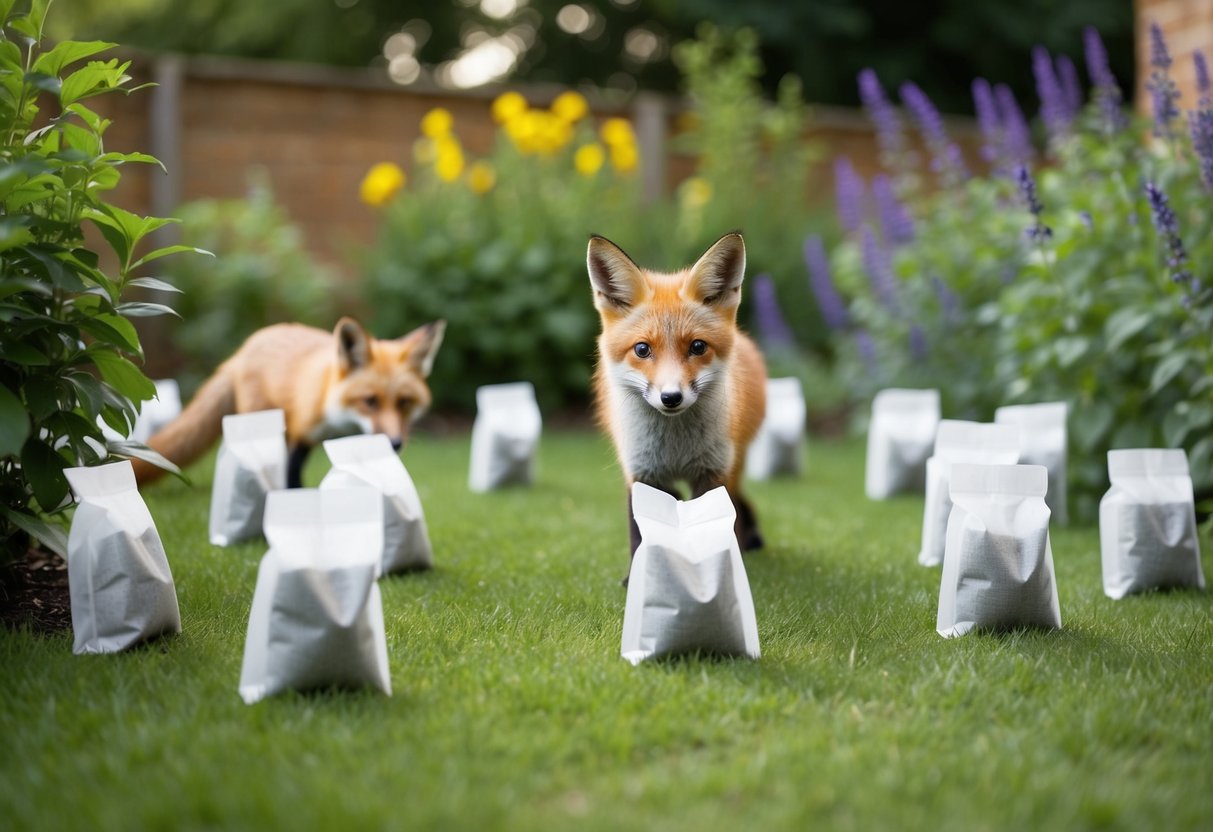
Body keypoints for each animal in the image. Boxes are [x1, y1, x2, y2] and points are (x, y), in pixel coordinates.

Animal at [130, 316, 446, 489]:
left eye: (404, 402)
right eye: (370, 401)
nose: (395, 443)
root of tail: (241, 352)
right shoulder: (301, 431)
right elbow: (292, 472)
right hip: (261, 420)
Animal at [586, 231, 768, 571]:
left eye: (697, 347)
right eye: (642, 349)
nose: (671, 397)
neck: (675, 448)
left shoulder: (713, 472)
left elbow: (714, 529)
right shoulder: (641, 471)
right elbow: (641, 533)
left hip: (734, 464)